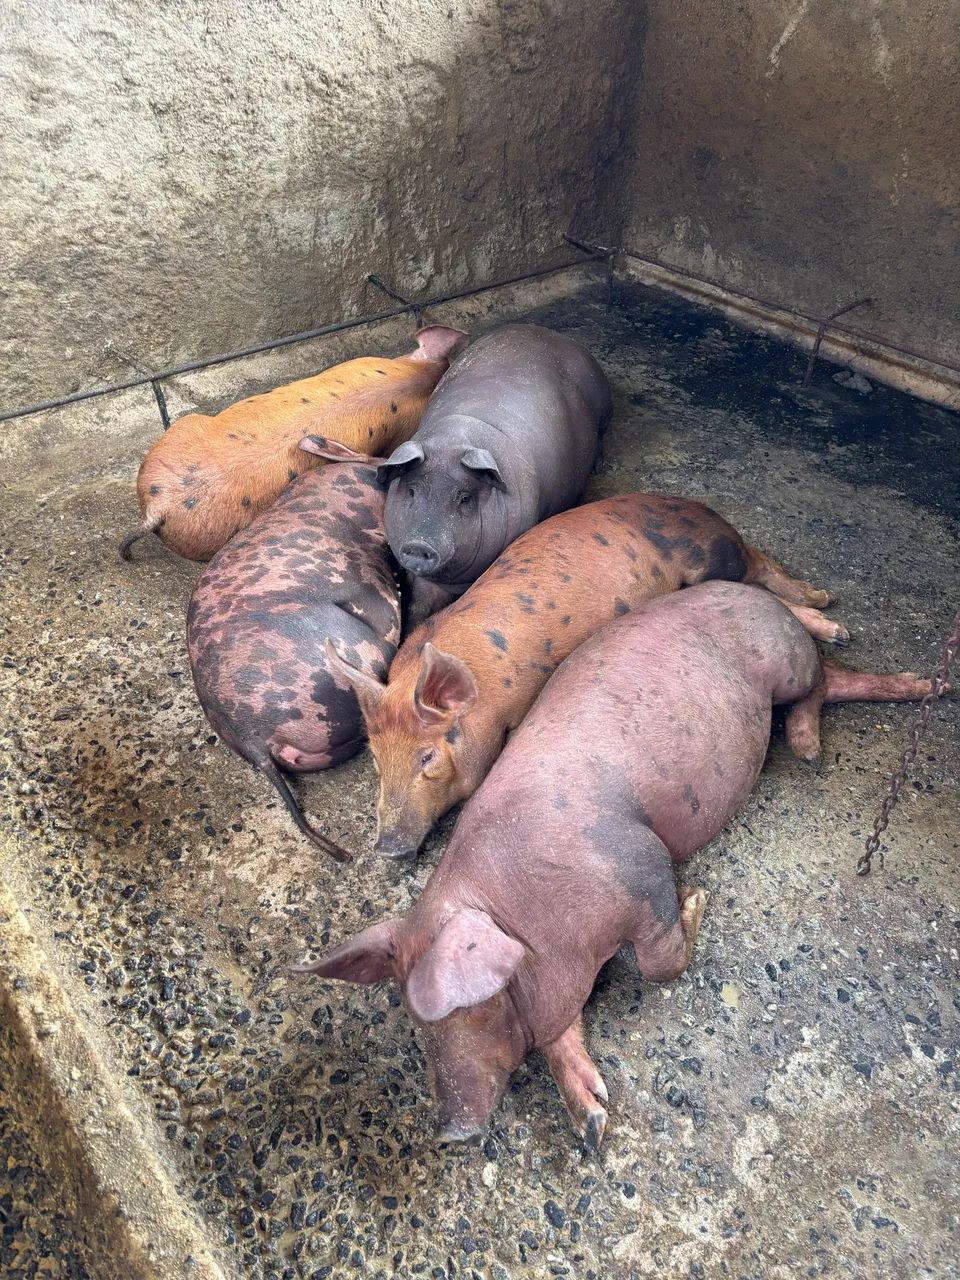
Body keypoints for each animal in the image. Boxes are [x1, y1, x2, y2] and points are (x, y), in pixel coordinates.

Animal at [294, 581, 937, 1143]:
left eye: (461, 1012)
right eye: (414, 1024)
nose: (450, 1133)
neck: (530, 920)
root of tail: (750, 589)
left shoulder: (639, 860)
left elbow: (660, 963)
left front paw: (696, 898)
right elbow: (560, 1033)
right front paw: (592, 1125)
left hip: (785, 660)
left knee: (820, 680)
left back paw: (818, 741)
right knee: (838, 681)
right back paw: (915, 687)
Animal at [326, 492, 849, 859]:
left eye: (428, 756)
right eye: (377, 761)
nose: (386, 849)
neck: (487, 692)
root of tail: (708, 515)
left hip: (710, 564)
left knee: (765, 582)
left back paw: (834, 643)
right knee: (764, 565)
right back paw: (825, 602)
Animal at [377, 323, 611, 620]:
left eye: (464, 498)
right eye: (411, 491)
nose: (420, 545)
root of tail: (554, 334)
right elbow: (419, 602)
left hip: (603, 404)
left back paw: (599, 465)